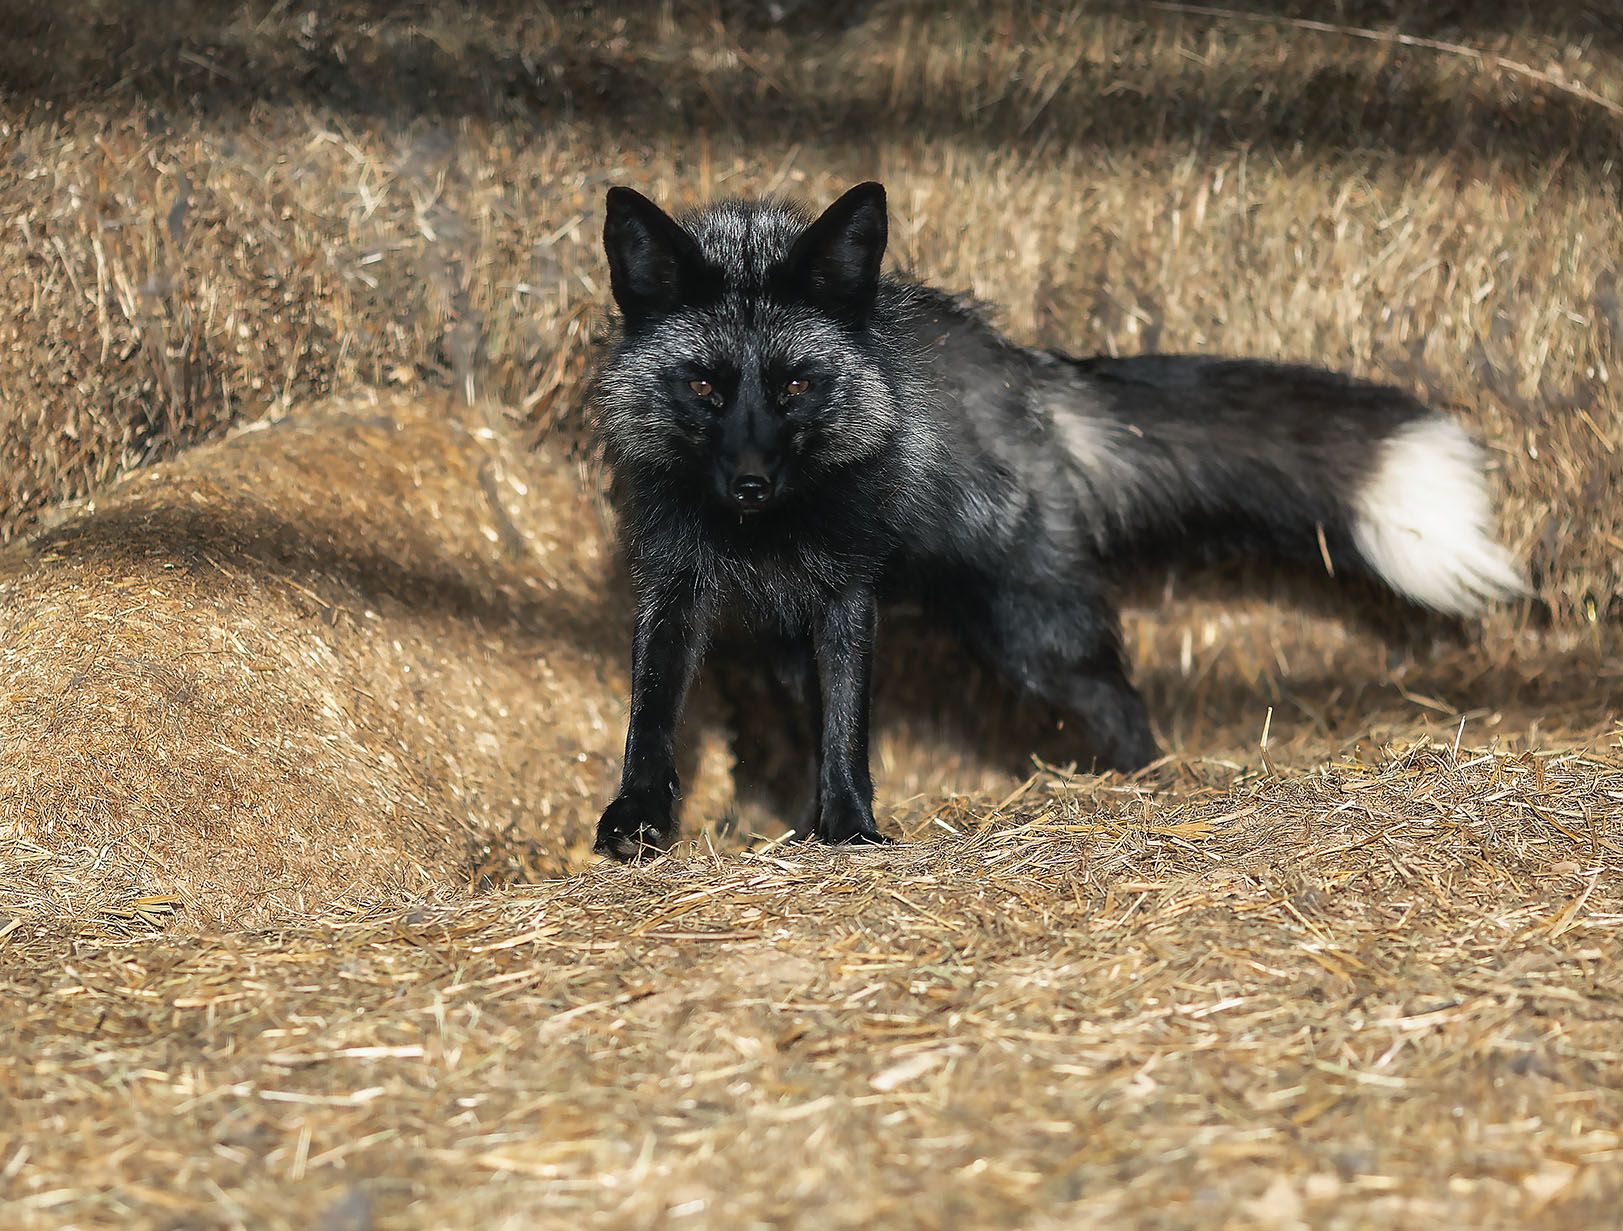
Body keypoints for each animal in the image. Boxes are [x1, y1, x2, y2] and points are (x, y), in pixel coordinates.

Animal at [594, 183, 1519, 863]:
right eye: (704, 387)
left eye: (794, 386)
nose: (748, 484)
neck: (760, 535)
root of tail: (1027, 373)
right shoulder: (673, 584)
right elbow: (652, 714)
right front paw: (637, 822)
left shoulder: (847, 594)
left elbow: (849, 729)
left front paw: (852, 829)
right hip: (826, 646)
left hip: (1034, 635)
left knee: (1124, 708)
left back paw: (1152, 792)